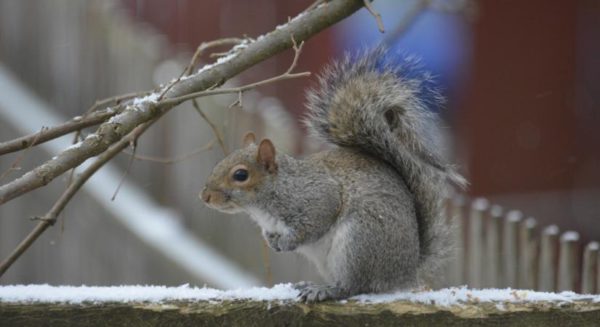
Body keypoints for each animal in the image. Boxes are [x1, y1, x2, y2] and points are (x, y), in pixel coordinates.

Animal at [199, 47, 466, 304]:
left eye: (240, 175)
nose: (205, 197)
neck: (268, 200)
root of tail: (404, 273)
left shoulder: (318, 199)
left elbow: (313, 223)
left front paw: (286, 243)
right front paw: (271, 241)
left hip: (359, 242)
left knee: (355, 286)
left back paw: (325, 290)